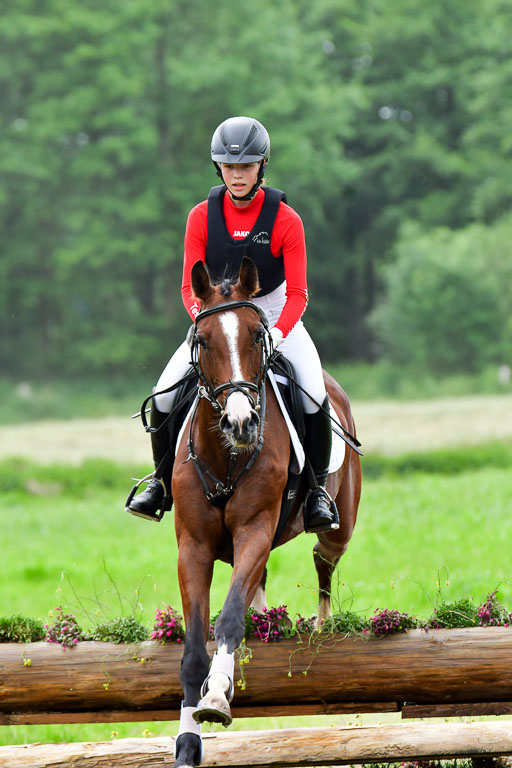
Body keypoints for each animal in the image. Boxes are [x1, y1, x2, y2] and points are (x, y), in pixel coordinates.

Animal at [171, 256, 361, 768]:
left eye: (259, 336)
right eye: (203, 340)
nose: (241, 423)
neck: (227, 455)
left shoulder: (255, 529)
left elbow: (228, 619)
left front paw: (217, 695)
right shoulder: (193, 547)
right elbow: (195, 649)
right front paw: (187, 743)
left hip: (339, 525)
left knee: (323, 560)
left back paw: (321, 622)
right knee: (260, 579)